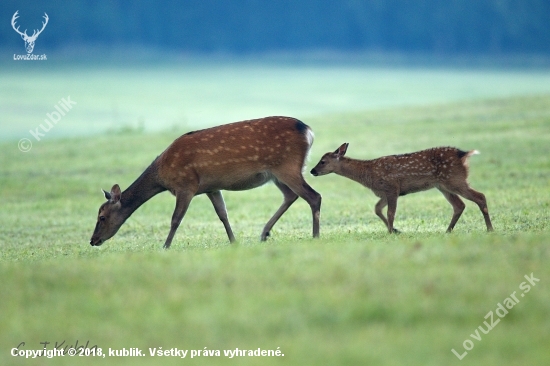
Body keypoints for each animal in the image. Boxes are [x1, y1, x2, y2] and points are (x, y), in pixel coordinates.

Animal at [90, 117, 324, 249]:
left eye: (102, 217)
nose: (93, 240)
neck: (162, 176)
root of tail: (308, 131)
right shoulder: (212, 187)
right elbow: (222, 214)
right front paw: (233, 242)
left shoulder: (186, 185)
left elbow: (175, 219)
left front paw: (165, 246)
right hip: (276, 173)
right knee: (291, 195)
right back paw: (264, 233)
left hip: (287, 166)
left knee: (314, 196)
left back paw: (315, 236)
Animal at [310, 144, 496, 233]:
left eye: (323, 161)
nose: (312, 171)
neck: (368, 174)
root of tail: (463, 155)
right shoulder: (385, 192)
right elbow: (377, 209)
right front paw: (395, 230)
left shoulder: (392, 187)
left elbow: (390, 212)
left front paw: (391, 231)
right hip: (443, 185)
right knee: (459, 205)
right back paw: (447, 231)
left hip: (454, 179)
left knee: (480, 196)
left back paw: (489, 229)